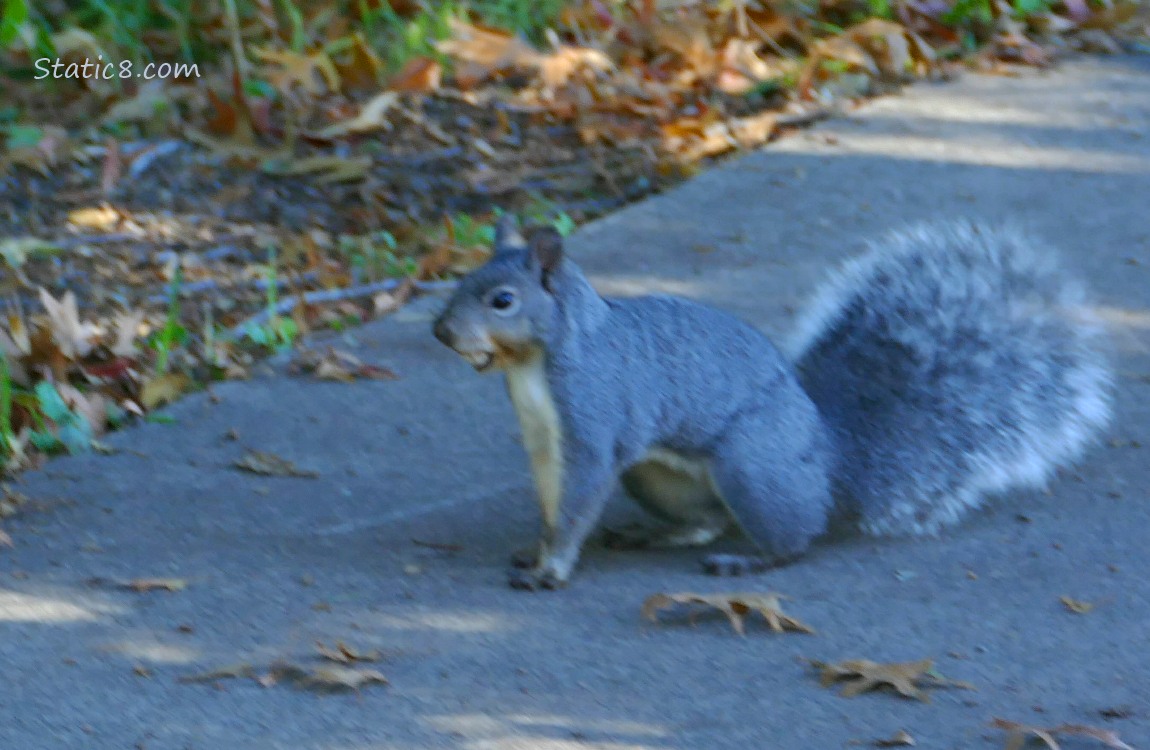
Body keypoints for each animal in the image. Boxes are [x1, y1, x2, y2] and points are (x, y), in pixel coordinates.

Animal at [432, 216, 1112, 590]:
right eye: (460, 280)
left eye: (502, 300)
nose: (441, 332)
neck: (532, 368)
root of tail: (830, 455)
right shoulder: (542, 438)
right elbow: (553, 501)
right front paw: (537, 548)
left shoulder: (593, 419)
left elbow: (576, 501)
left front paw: (552, 568)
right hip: (657, 477)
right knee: (706, 519)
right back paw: (664, 534)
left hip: (752, 468)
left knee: (795, 539)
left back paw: (746, 561)